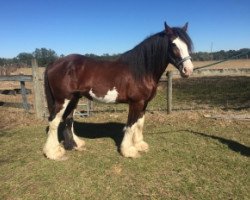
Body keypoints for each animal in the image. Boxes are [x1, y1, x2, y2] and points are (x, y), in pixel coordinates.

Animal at [43, 21, 193, 160]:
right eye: (173, 44)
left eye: (187, 45)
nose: (188, 70)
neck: (141, 71)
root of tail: (54, 63)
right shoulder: (136, 102)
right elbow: (131, 125)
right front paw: (128, 150)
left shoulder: (144, 103)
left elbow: (140, 123)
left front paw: (139, 144)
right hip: (62, 99)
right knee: (54, 121)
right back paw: (53, 152)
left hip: (74, 98)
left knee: (68, 118)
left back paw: (76, 144)